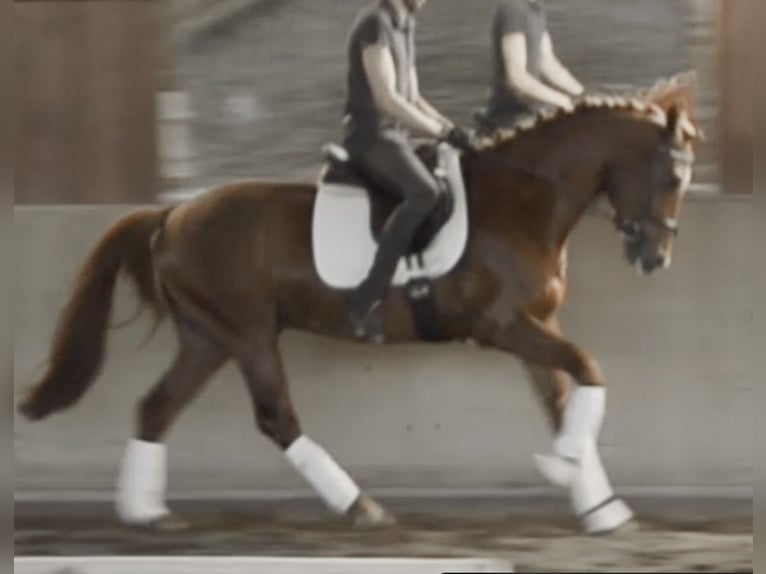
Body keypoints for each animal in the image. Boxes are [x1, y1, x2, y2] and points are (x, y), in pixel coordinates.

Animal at [18, 74, 704, 536]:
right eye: (673, 177)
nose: (655, 258)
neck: (523, 199)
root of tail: (174, 214)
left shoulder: (537, 324)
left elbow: (563, 398)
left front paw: (599, 506)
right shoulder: (503, 325)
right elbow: (590, 371)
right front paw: (562, 468)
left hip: (207, 336)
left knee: (156, 407)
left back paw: (146, 513)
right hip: (247, 332)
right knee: (275, 417)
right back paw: (361, 507)